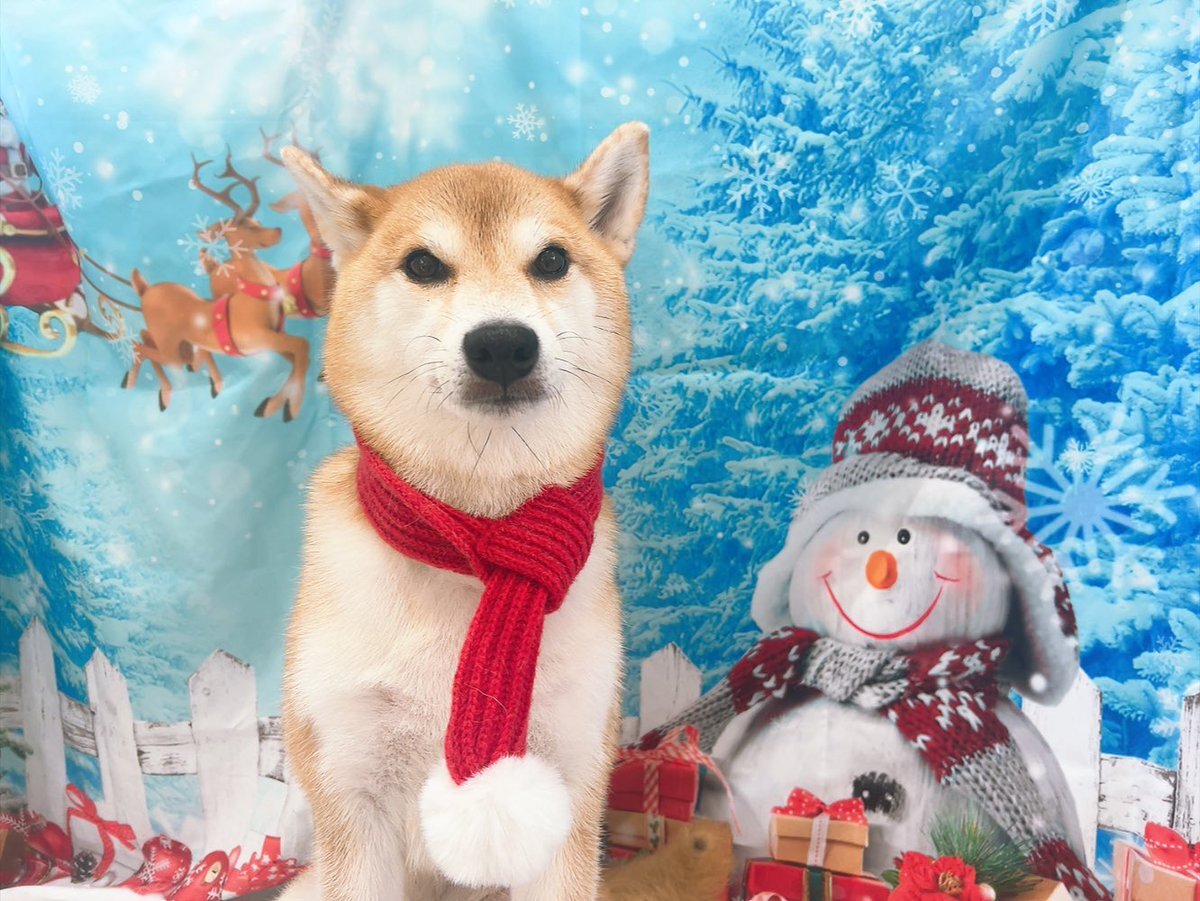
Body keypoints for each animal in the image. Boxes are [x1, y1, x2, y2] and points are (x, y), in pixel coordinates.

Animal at [120, 150, 312, 422]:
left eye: (256, 219)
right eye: (245, 226)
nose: (278, 229)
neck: (257, 296)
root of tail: (146, 290)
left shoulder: (272, 339)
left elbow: (296, 356)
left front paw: (272, 405)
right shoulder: (258, 337)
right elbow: (302, 346)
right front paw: (291, 407)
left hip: (178, 345)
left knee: (147, 339)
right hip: (171, 351)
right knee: (139, 347)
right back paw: (139, 385)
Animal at [276, 122, 649, 901]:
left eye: (551, 260)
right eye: (423, 264)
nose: (502, 343)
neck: (474, 544)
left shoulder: (570, 780)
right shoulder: (351, 791)